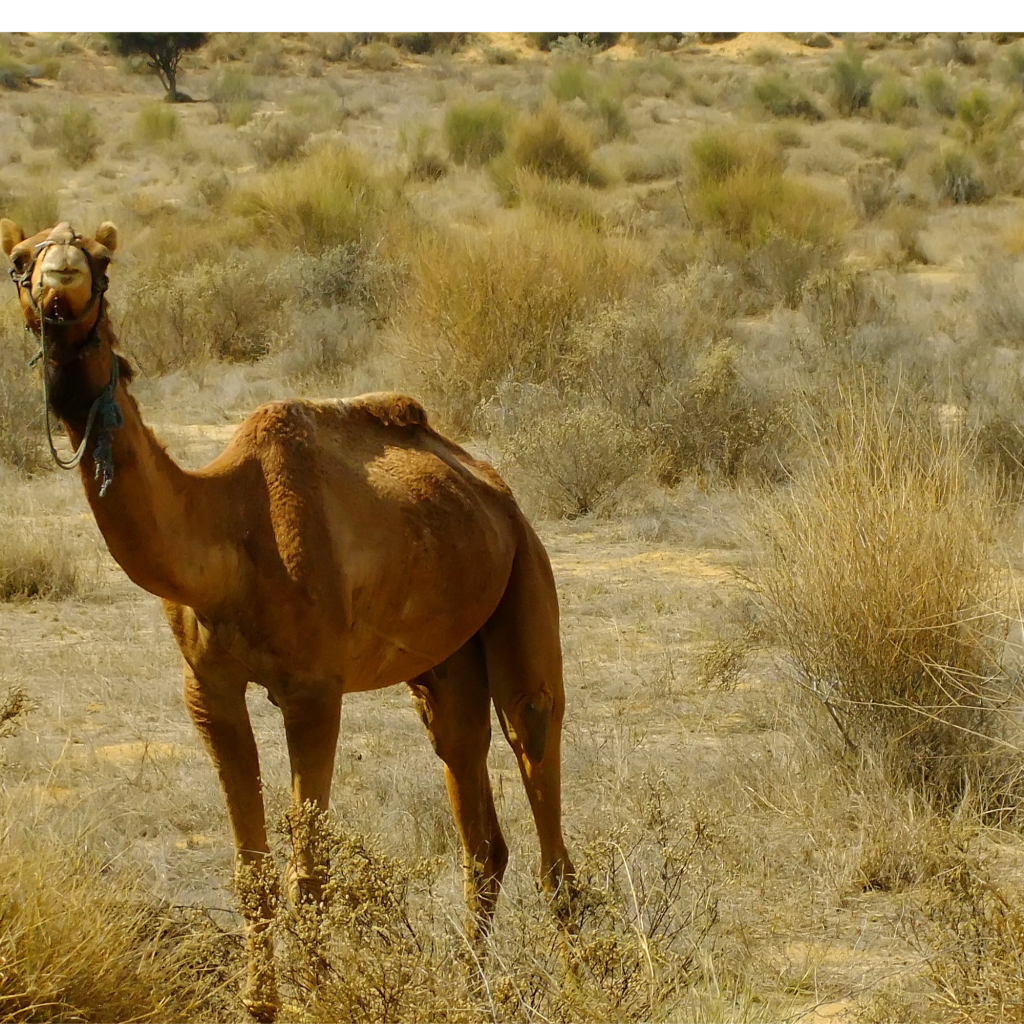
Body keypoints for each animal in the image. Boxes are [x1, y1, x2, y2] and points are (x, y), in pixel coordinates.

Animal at [2, 220, 577, 1019]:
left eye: (101, 260)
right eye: (19, 262)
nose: (61, 282)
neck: (226, 530)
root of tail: (496, 491)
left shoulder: (313, 691)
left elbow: (311, 871)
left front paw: (317, 998)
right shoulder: (207, 689)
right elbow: (254, 870)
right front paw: (260, 1005)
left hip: (525, 579)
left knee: (538, 759)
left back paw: (585, 985)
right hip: (445, 662)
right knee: (477, 819)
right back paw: (470, 989)